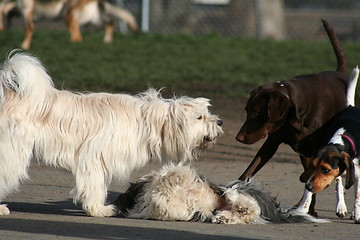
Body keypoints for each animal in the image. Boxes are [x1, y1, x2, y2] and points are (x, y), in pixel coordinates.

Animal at [0, 0, 138, 49]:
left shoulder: (27, 11)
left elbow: (29, 29)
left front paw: (24, 46)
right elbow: (8, 12)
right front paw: (6, 27)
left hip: (68, 15)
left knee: (77, 37)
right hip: (93, 18)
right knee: (110, 23)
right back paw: (107, 41)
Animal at [0, 51, 222, 217]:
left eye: (208, 114)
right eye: (200, 117)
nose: (220, 122)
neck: (147, 121)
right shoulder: (93, 157)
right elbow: (94, 185)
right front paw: (98, 209)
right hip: (12, 151)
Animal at [114, 164, 326, 224]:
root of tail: (274, 208)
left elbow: (175, 173)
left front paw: (173, 175)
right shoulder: (164, 208)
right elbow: (164, 203)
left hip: (239, 188)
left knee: (244, 203)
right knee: (246, 214)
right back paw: (224, 216)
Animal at [235, 19, 358, 217]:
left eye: (256, 113)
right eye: (246, 111)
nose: (238, 138)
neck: (294, 113)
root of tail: (340, 72)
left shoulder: (319, 151)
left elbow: (318, 180)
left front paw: (310, 209)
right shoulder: (272, 143)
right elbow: (251, 169)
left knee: (338, 177)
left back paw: (340, 206)